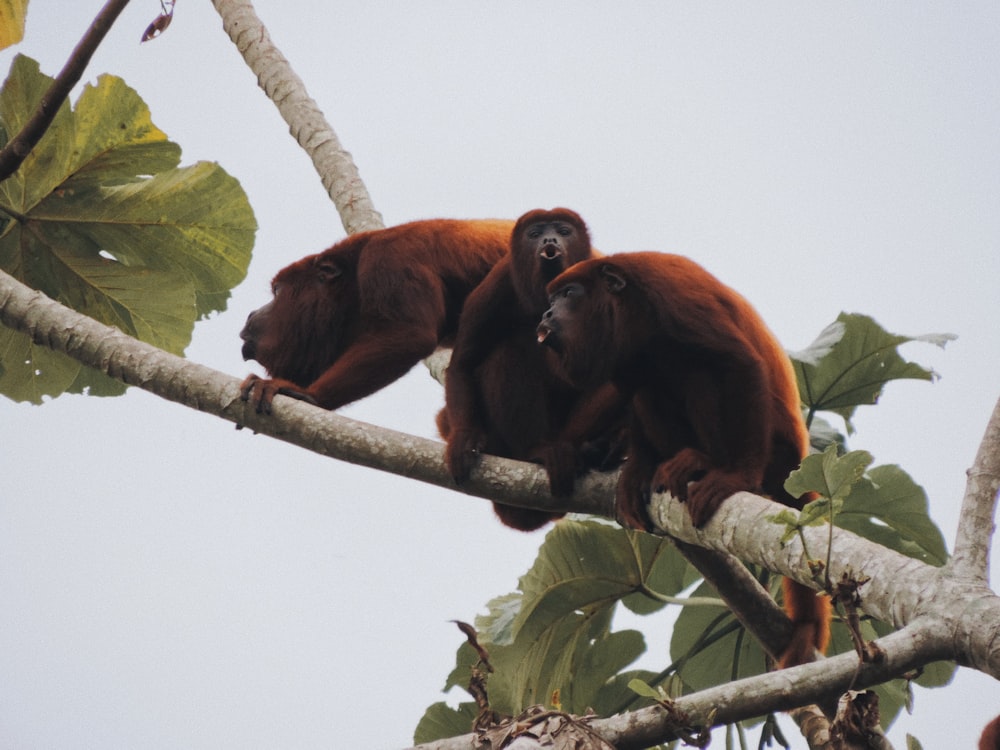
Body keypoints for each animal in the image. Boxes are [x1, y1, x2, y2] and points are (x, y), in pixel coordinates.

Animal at [440, 209, 620, 532]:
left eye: (563, 231)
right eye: (535, 234)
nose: (550, 240)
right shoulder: (498, 283)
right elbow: (463, 364)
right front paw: (463, 437)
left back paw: (586, 450)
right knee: (508, 351)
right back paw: (538, 452)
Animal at [540, 254, 828, 668]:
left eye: (568, 293)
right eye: (553, 298)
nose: (547, 312)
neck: (630, 308)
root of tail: (794, 466)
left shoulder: (673, 298)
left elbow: (740, 363)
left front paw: (736, 476)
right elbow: (630, 388)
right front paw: (635, 472)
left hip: (773, 445)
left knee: (701, 372)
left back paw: (703, 461)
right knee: (649, 382)